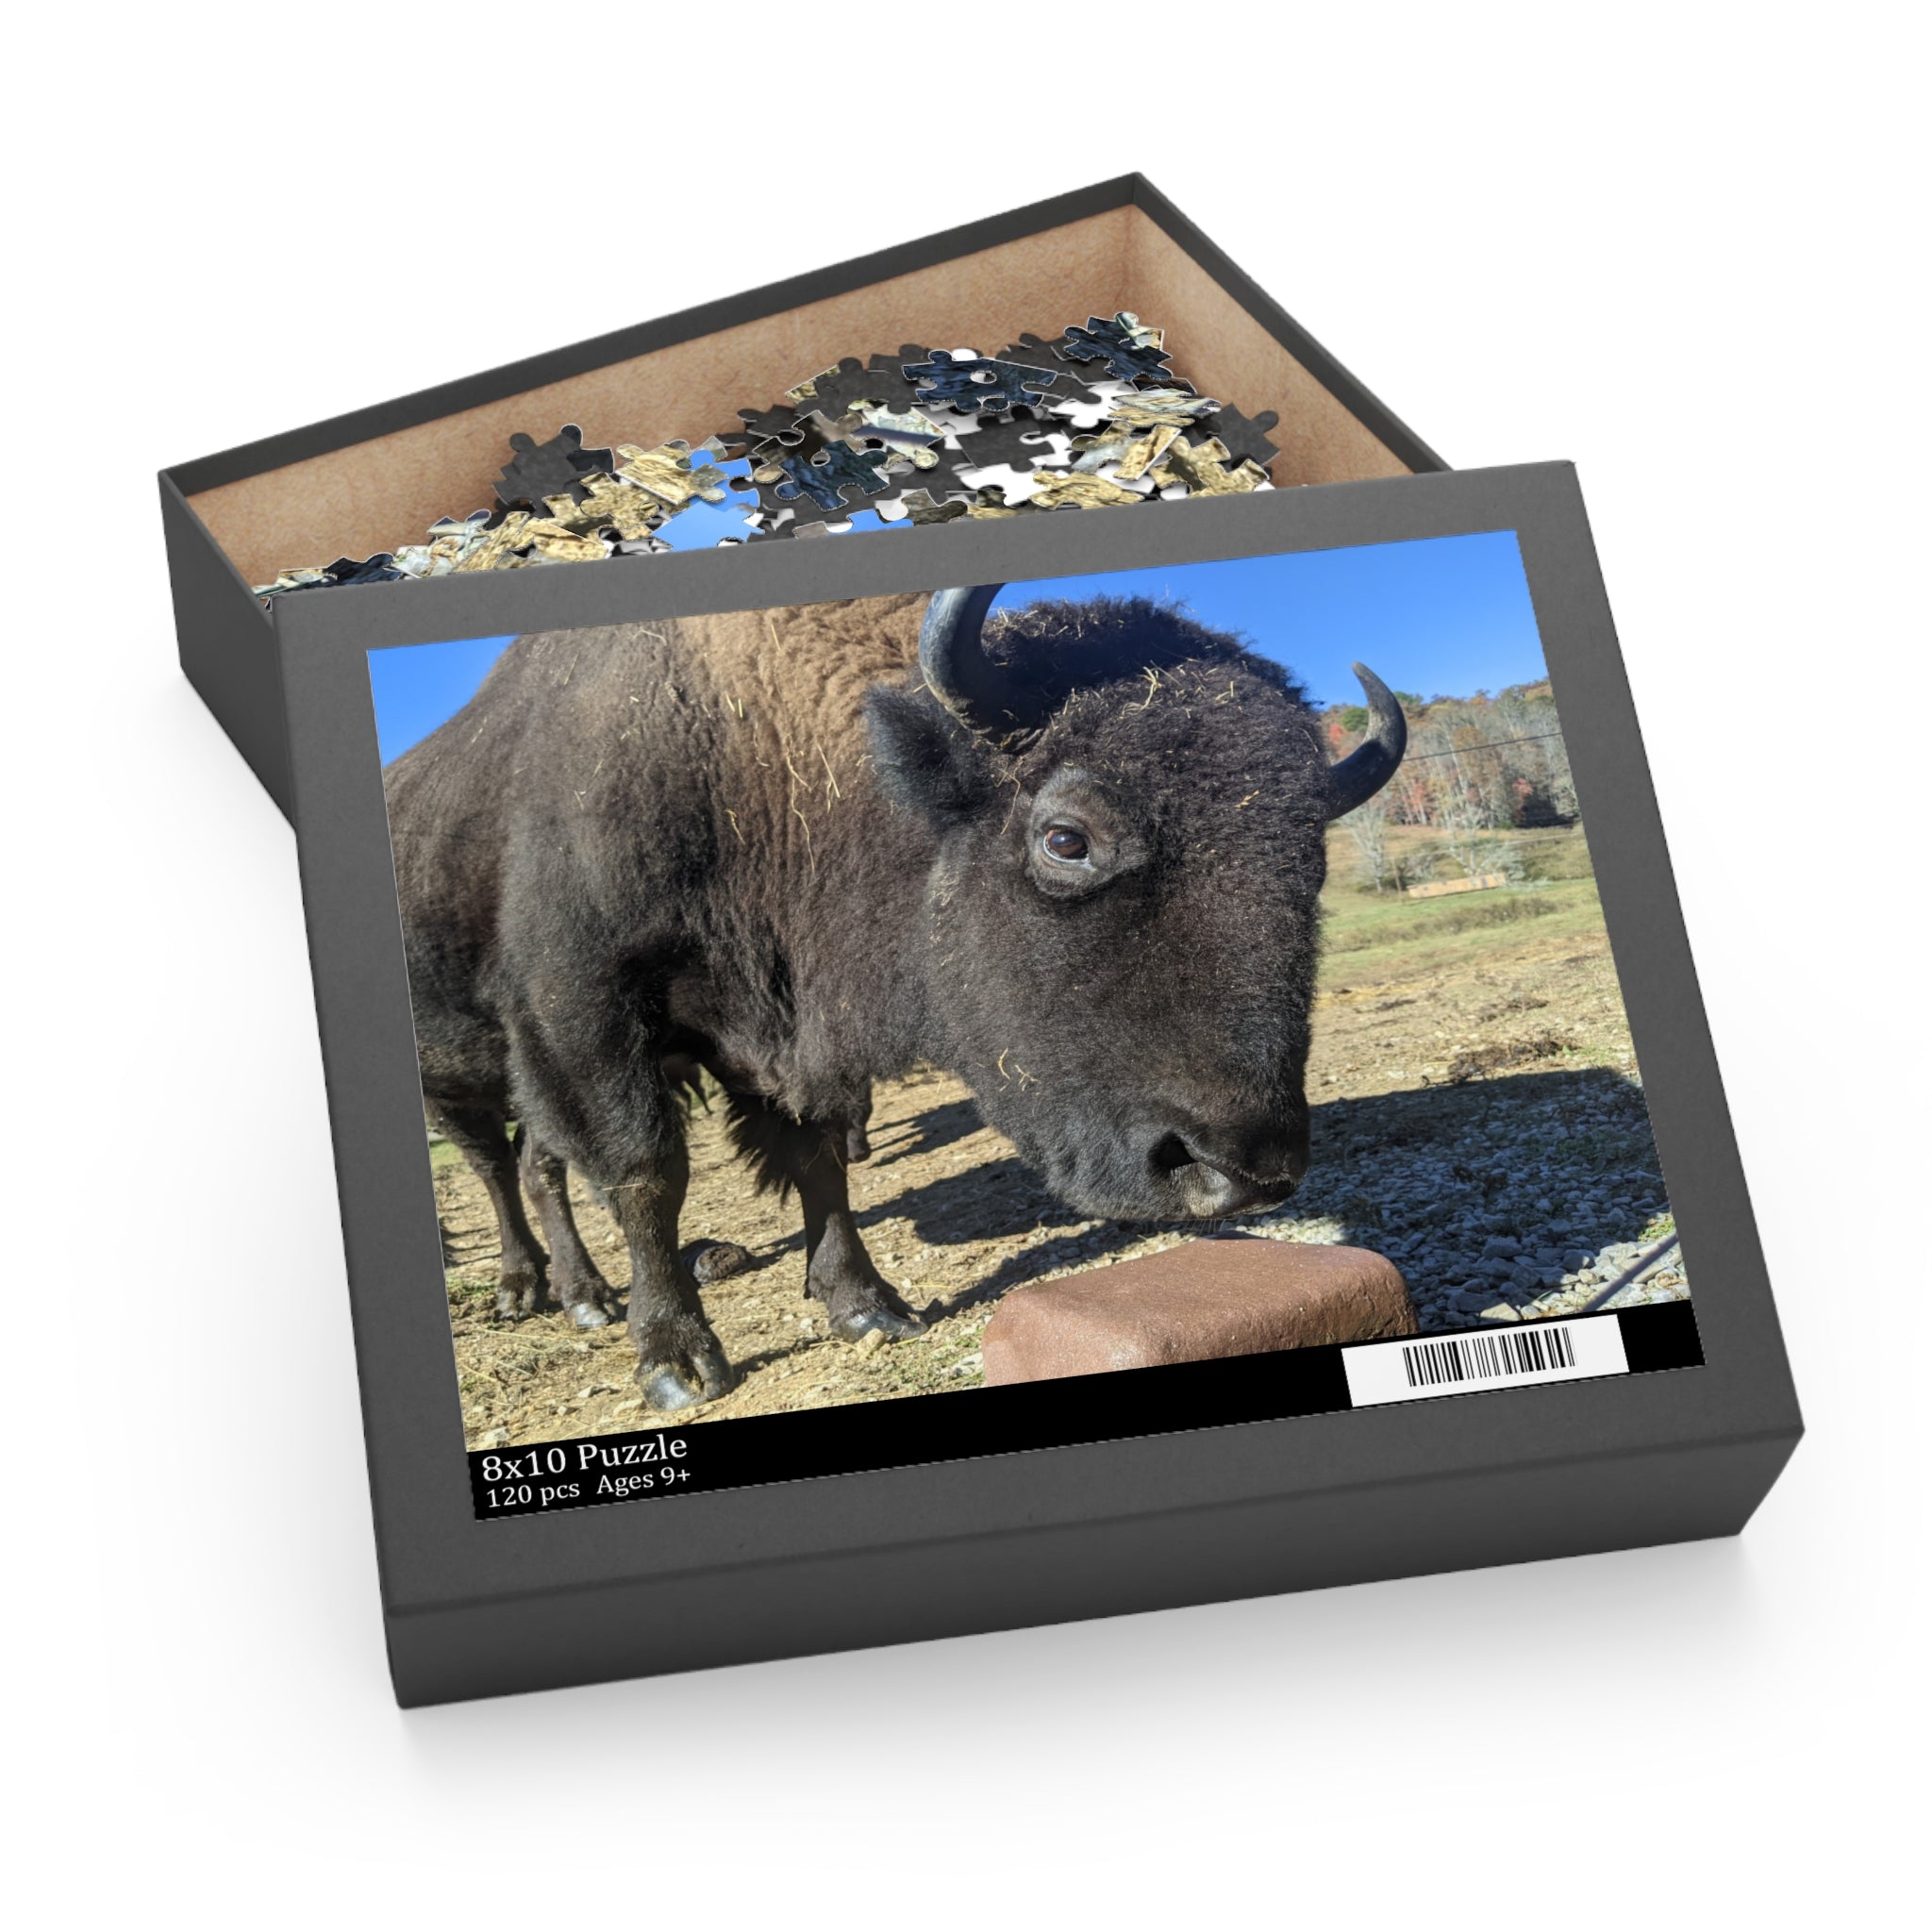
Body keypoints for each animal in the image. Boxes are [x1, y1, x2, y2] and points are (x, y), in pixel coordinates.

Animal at [384, 583, 1406, 1411]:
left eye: (1309, 857)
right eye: (1065, 838)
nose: (1243, 1170)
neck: (768, 761)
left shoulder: (791, 1044)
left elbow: (817, 1163)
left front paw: (867, 1307)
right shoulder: (583, 1018)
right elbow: (646, 1175)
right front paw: (677, 1362)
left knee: (532, 1166)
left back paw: (580, 1294)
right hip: (462, 1079)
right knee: (509, 1171)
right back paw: (556, 1294)